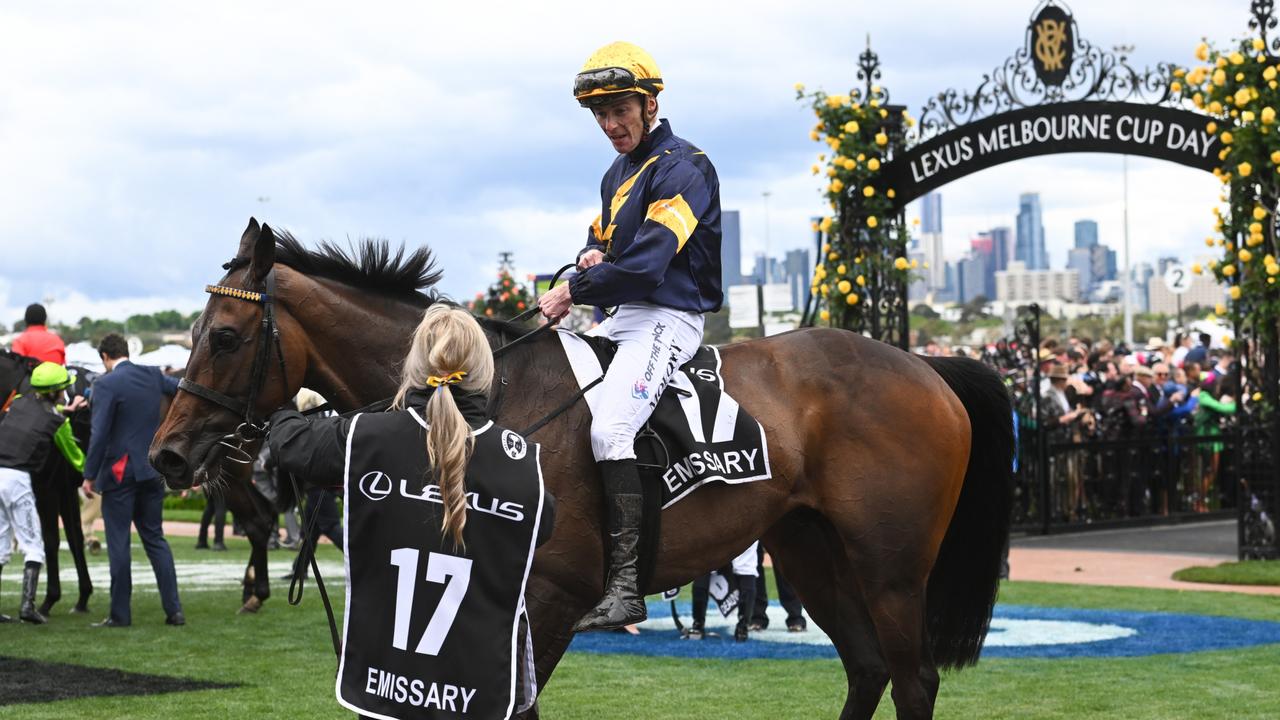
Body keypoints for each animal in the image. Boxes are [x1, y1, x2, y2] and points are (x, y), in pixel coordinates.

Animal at [149, 220, 1008, 717]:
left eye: (223, 336)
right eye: (193, 334)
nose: (167, 452)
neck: (483, 400)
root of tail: (926, 365)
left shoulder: (550, 603)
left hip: (890, 569)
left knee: (914, 680)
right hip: (810, 550)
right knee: (866, 670)